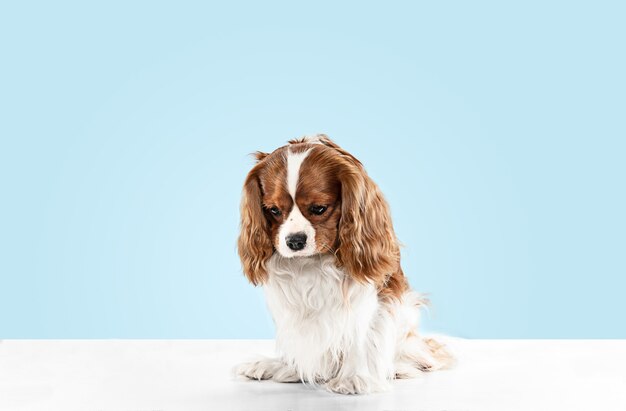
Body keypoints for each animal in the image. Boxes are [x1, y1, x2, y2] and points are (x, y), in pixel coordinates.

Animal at [232, 136, 450, 396]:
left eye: (319, 209)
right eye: (273, 210)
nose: (294, 241)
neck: (312, 263)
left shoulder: (369, 300)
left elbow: (359, 338)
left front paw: (354, 378)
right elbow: (297, 337)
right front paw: (289, 366)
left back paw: (396, 368)